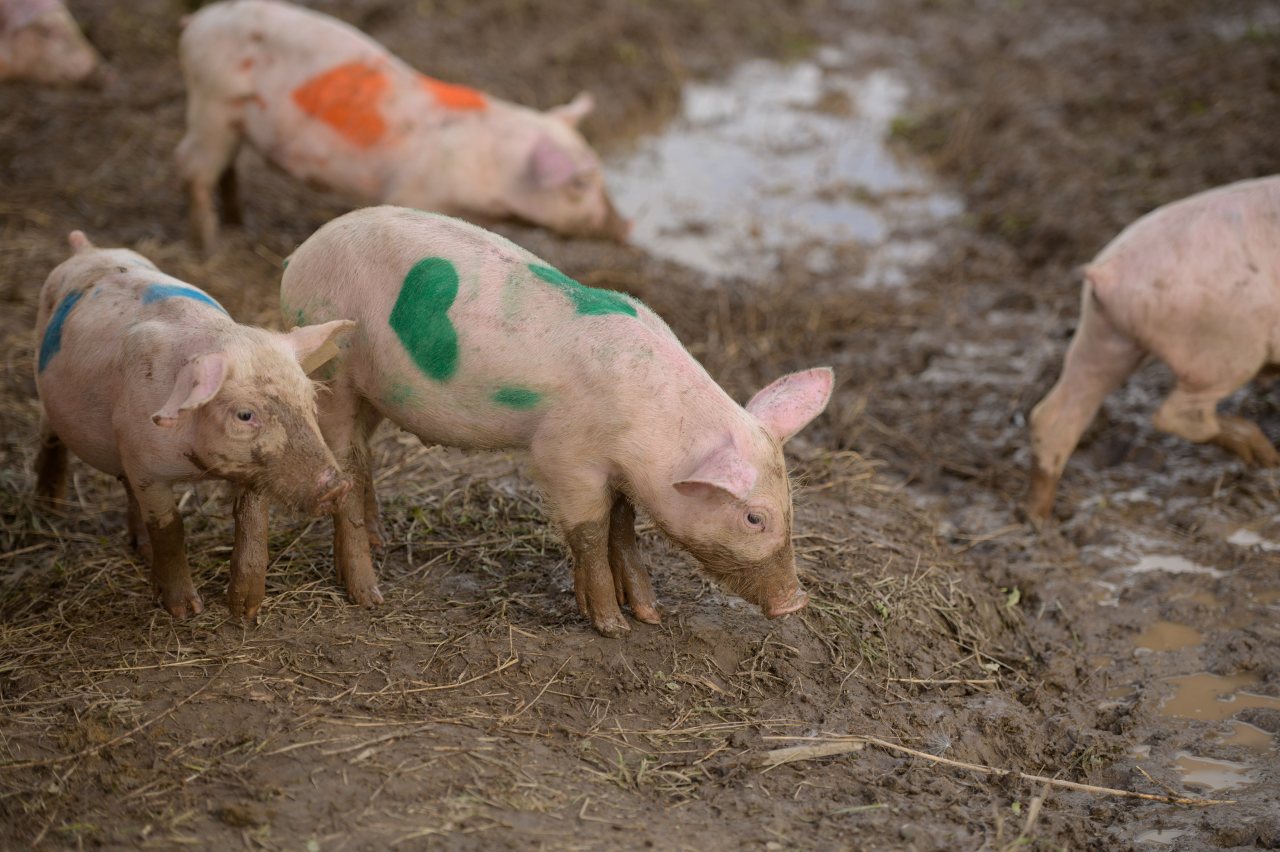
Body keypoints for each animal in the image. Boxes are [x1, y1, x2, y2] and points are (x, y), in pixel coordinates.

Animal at [35, 230, 355, 616]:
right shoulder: (146, 466)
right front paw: (187, 611)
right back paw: (48, 507)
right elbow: (170, 529)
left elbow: (252, 526)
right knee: (49, 433)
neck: (196, 467)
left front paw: (245, 610)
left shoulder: (251, 469)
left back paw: (140, 550)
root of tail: (87, 249)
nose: (337, 486)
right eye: (244, 415)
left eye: (309, 398)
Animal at [176, 0, 629, 252]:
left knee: (225, 169)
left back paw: (238, 224)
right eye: (582, 184)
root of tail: (197, 21)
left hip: (229, 118)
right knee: (191, 168)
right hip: (210, 101)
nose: (625, 226)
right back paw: (210, 246)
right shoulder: (415, 192)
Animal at [280, 204, 834, 629]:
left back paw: (381, 538)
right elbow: (590, 531)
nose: (794, 601)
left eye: (790, 504)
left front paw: (649, 614)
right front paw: (611, 625)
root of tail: (300, 253)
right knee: (346, 462)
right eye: (754, 517)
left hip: (375, 393)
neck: (657, 429)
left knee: (364, 454)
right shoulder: (563, 456)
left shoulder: (620, 469)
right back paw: (369, 596)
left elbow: (623, 527)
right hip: (334, 371)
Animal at [1024, 175, 1280, 514]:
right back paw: (1264, 454)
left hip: (1104, 337)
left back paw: (1037, 517)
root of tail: (1107, 270)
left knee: (1053, 416)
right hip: (1226, 345)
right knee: (1177, 415)